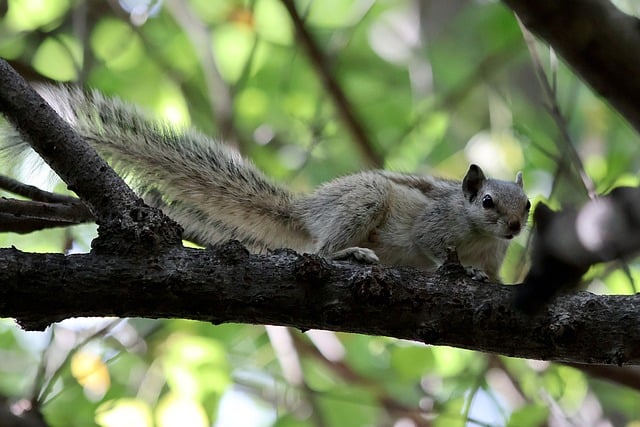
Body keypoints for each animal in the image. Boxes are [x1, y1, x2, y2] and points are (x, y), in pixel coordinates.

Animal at [1, 85, 530, 281]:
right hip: (364, 203)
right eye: (487, 202)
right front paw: (455, 268)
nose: (514, 228)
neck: (477, 235)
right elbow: (432, 247)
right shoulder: (434, 225)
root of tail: (307, 213)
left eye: (528, 206)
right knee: (320, 251)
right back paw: (349, 253)